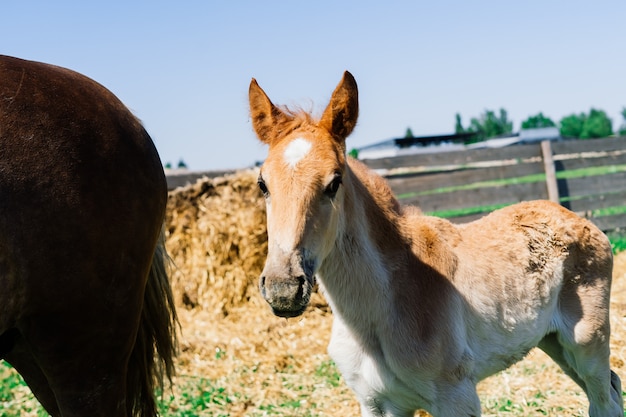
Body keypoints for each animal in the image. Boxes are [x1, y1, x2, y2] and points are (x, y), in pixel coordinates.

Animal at [247, 71, 620, 416]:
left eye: (334, 182)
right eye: (263, 184)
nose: (283, 288)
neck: (381, 309)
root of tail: (578, 218)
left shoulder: (456, 397)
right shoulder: (376, 402)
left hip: (588, 344)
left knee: (605, 400)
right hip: (553, 342)